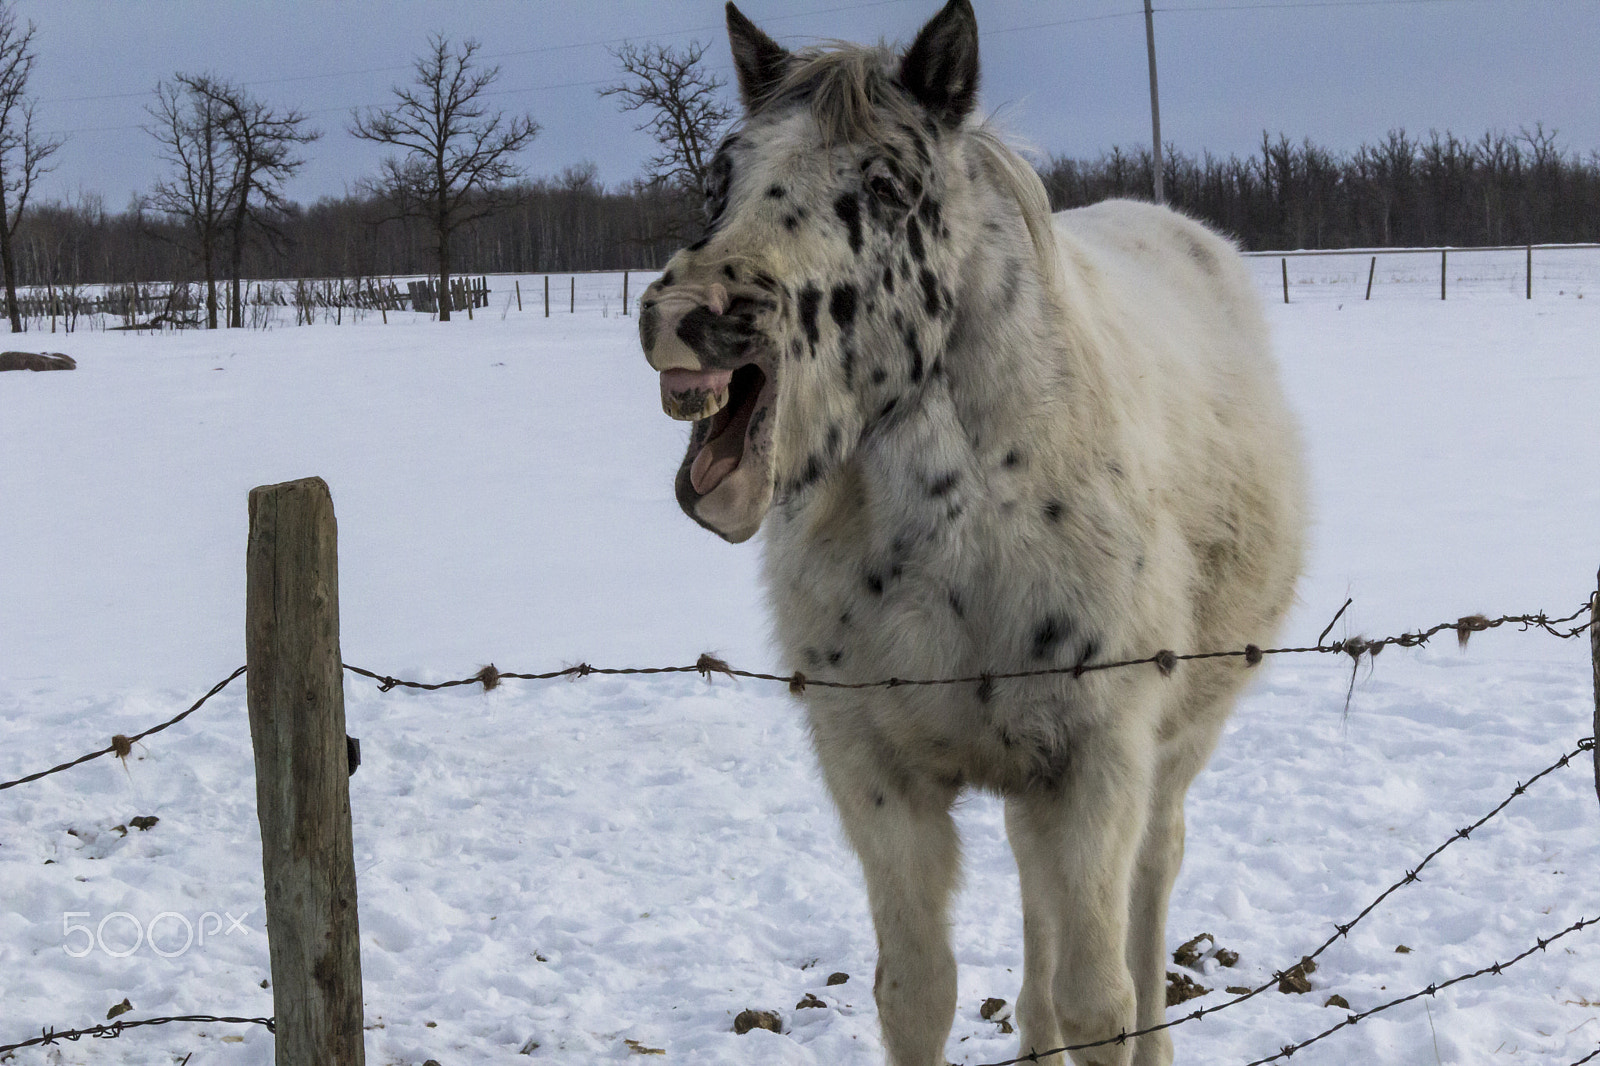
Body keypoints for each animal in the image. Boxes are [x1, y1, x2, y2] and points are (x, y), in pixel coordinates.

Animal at [636, 3, 1306, 1063]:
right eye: (720, 174)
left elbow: (1099, 1001)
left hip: (1168, 754)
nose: (687, 316)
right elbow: (917, 992)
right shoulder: (879, 776)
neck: (957, 540)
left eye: (884, 184)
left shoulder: (1097, 765)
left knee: (1151, 886)